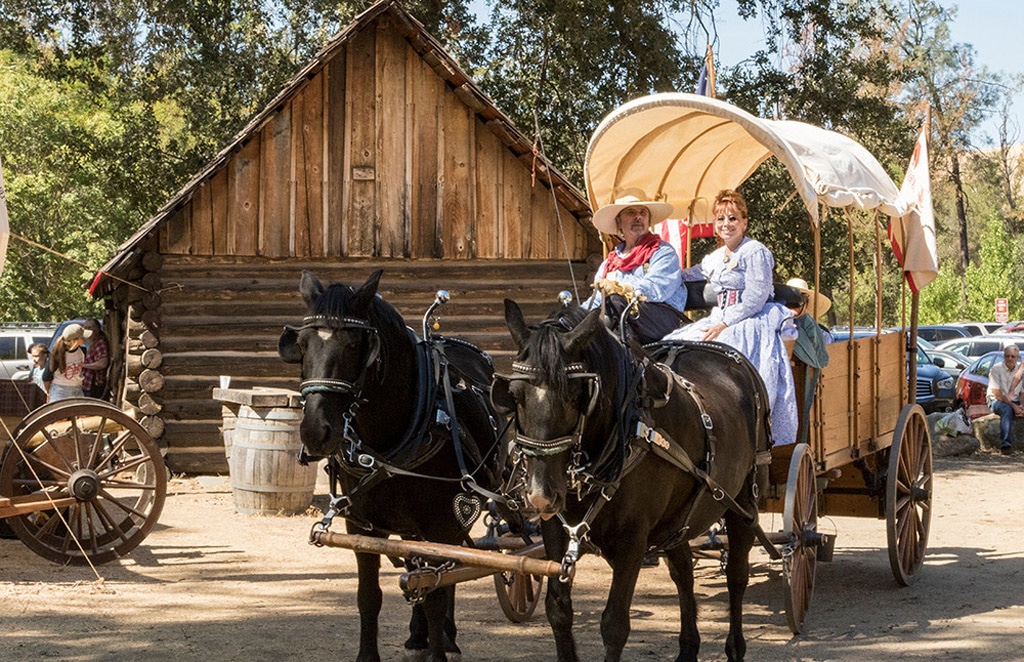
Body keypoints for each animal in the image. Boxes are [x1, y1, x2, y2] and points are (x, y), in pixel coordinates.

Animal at [280, 270, 507, 662]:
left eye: (353, 345)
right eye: (303, 345)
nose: (315, 431)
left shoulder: (441, 523)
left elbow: (438, 592)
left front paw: (438, 651)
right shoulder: (361, 527)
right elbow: (369, 598)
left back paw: (445, 636)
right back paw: (419, 634)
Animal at [493, 301, 770, 662]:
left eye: (575, 394)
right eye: (513, 394)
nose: (540, 493)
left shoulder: (632, 542)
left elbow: (614, 624)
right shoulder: (556, 531)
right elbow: (558, 610)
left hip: (743, 504)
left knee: (737, 575)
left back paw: (735, 647)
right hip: (677, 521)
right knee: (683, 572)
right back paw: (688, 647)